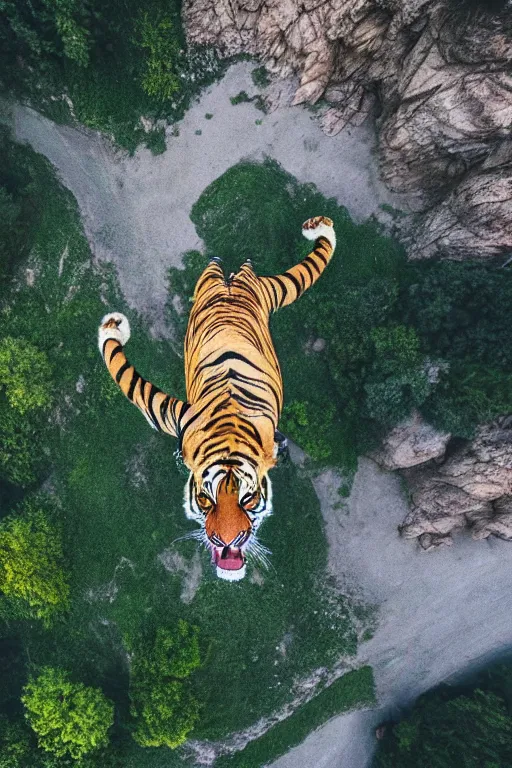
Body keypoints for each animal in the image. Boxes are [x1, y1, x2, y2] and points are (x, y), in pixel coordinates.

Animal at [99, 213, 336, 580]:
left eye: (246, 500)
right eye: (206, 500)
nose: (226, 541)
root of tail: (232, 287)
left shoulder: (165, 411)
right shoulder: (168, 412)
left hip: (236, 284)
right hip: (220, 283)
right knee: (222, 266)